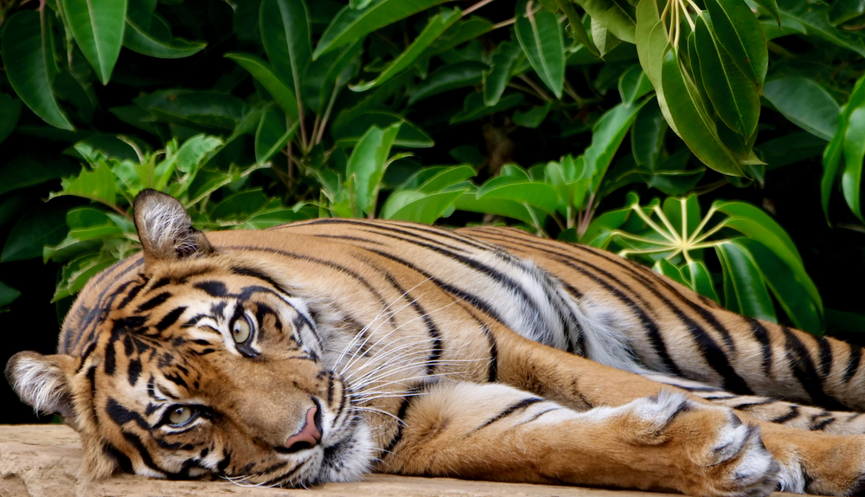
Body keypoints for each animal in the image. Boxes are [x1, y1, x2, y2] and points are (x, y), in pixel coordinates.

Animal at [7, 188, 865, 497]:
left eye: (242, 331)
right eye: (181, 413)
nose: (308, 431)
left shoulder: (514, 348)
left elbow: (621, 393)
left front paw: (823, 457)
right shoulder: (437, 422)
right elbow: (549, 444)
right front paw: (716, 457)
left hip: (722, 333)